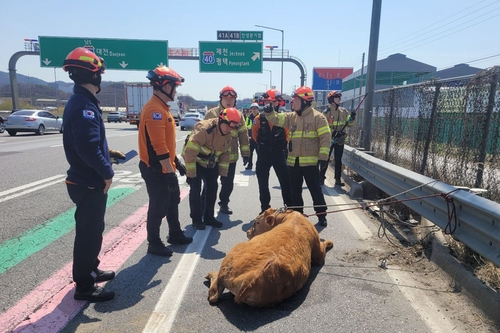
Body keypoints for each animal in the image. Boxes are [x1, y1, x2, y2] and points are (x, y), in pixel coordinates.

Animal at [205, 208, 334, 306]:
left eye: (256, 222)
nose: (248, 232)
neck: (288, 217)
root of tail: (250, 279)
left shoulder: (318, 253)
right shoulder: (318, 253)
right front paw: (330, 242)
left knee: (214, 295)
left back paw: (210, 274)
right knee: (214, 294)